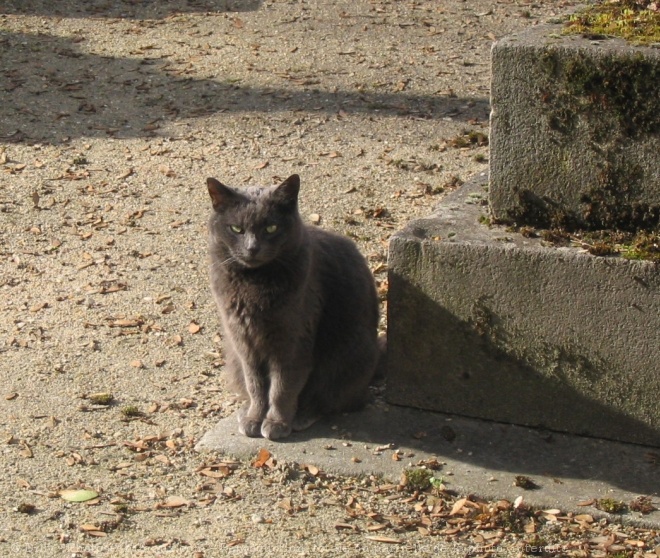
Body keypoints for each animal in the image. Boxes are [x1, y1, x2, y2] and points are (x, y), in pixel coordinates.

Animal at [206, 173, 382, 440]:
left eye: (271, 228)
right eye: (236, 229)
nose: (252, 248)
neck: (253, 283)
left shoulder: (293, 341)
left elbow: (282, 386)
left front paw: (276, 422)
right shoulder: (243, 341)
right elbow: (256, 384)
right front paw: (254, 418)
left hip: (347, 354)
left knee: (331, 399)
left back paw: (301, 417)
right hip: (234, 358)